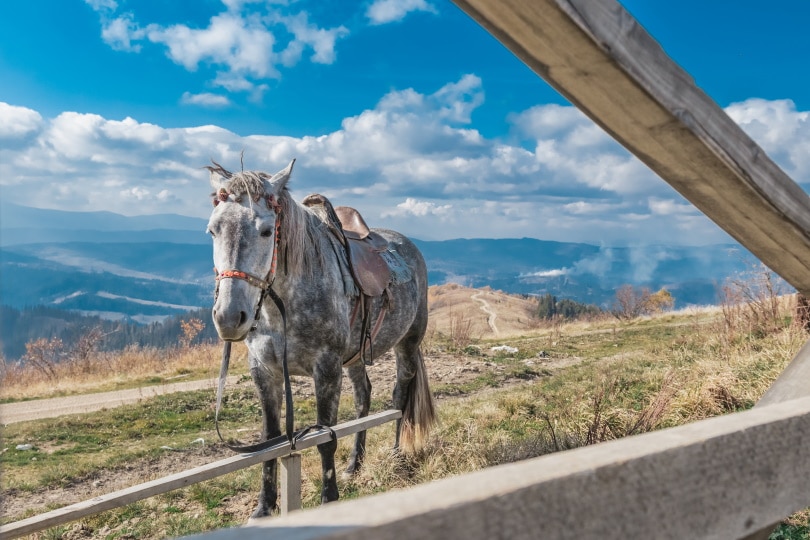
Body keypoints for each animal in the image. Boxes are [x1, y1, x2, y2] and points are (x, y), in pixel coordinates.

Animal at [207, 161, 436, 520]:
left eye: (266, 231)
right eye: (213, 230)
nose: (230, 317)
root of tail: (408, 245)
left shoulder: (326, 369)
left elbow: (326, 438)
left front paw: (330, 500)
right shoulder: (265, 371)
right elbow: (270, 439)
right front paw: (264, 506)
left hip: (408, 344)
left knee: (399, 398)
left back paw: (397, 454)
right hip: (355, 357)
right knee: (363, 397)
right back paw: (355, 463)